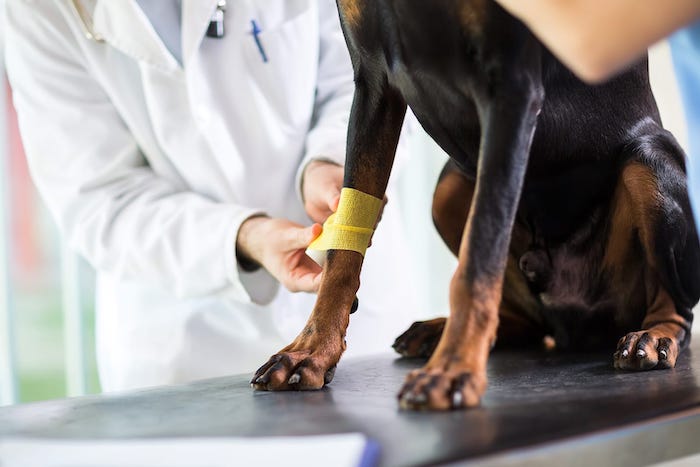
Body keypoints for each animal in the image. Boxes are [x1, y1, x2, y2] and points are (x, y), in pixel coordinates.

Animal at [252, 0, 700, 410]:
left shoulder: (511, 88)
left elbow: (480, 252)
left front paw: (453, 369)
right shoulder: (372, 82)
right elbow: (345, 247)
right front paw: (311, 351)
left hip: (648, 158)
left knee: (680, 306)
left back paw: (654, 336)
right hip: (449, 187)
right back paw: (436, 330)